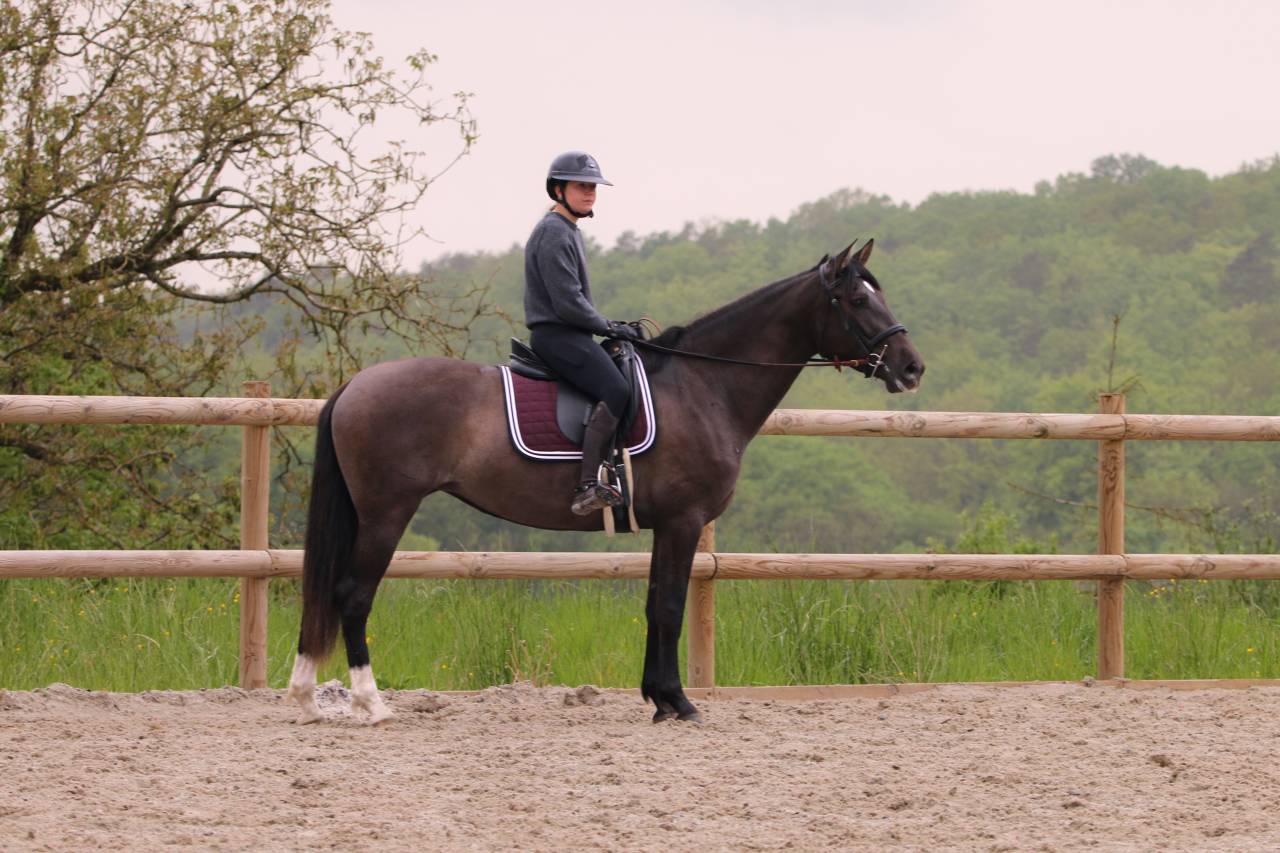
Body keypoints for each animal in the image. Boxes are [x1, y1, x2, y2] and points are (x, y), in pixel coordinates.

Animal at [286, 238, 924, 725]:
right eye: (855, 298)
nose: (911, 366)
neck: (702, 387)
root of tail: (355, 385)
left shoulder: (668, 525)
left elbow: (653, 604)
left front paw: (659, 699)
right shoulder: (684, 521)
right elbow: (669, 606)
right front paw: (678, 703)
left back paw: (307, 697)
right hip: (386, 513)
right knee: (353, 595)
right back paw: (371, 703)